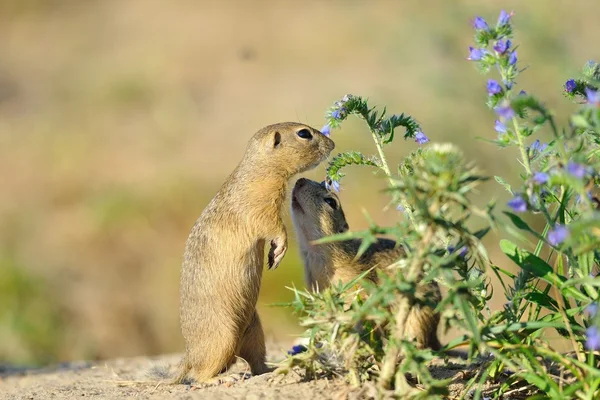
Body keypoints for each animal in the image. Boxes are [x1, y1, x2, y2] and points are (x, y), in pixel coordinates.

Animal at [175, 122, 338, 384]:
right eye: (303, 133)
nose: (332, 144)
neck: (257, 171)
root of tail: (189, 354)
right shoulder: (261, 207)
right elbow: (274, 227)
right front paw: (279, 251)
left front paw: (274, 254)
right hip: (222, 337)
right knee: (200, 373)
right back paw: (218, 379)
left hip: (255, 331)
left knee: (255, 363)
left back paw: (272, 370)